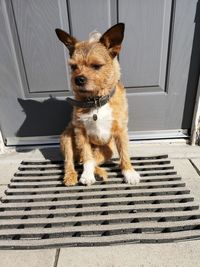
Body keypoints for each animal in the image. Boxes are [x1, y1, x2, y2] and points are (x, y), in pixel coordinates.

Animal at [55, 23, 141, 186]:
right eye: (73, 67)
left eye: (96, 65)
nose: (78, 79)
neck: (96, 102)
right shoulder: (81, 133)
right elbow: (87, 157)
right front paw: (87, 175)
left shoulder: (121, 131)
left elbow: (124, 153)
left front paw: (129, 172)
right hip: (66, 139)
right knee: (71, 161)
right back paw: (71, 176)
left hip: (108, 149)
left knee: (89, 160)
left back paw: (100, 173)